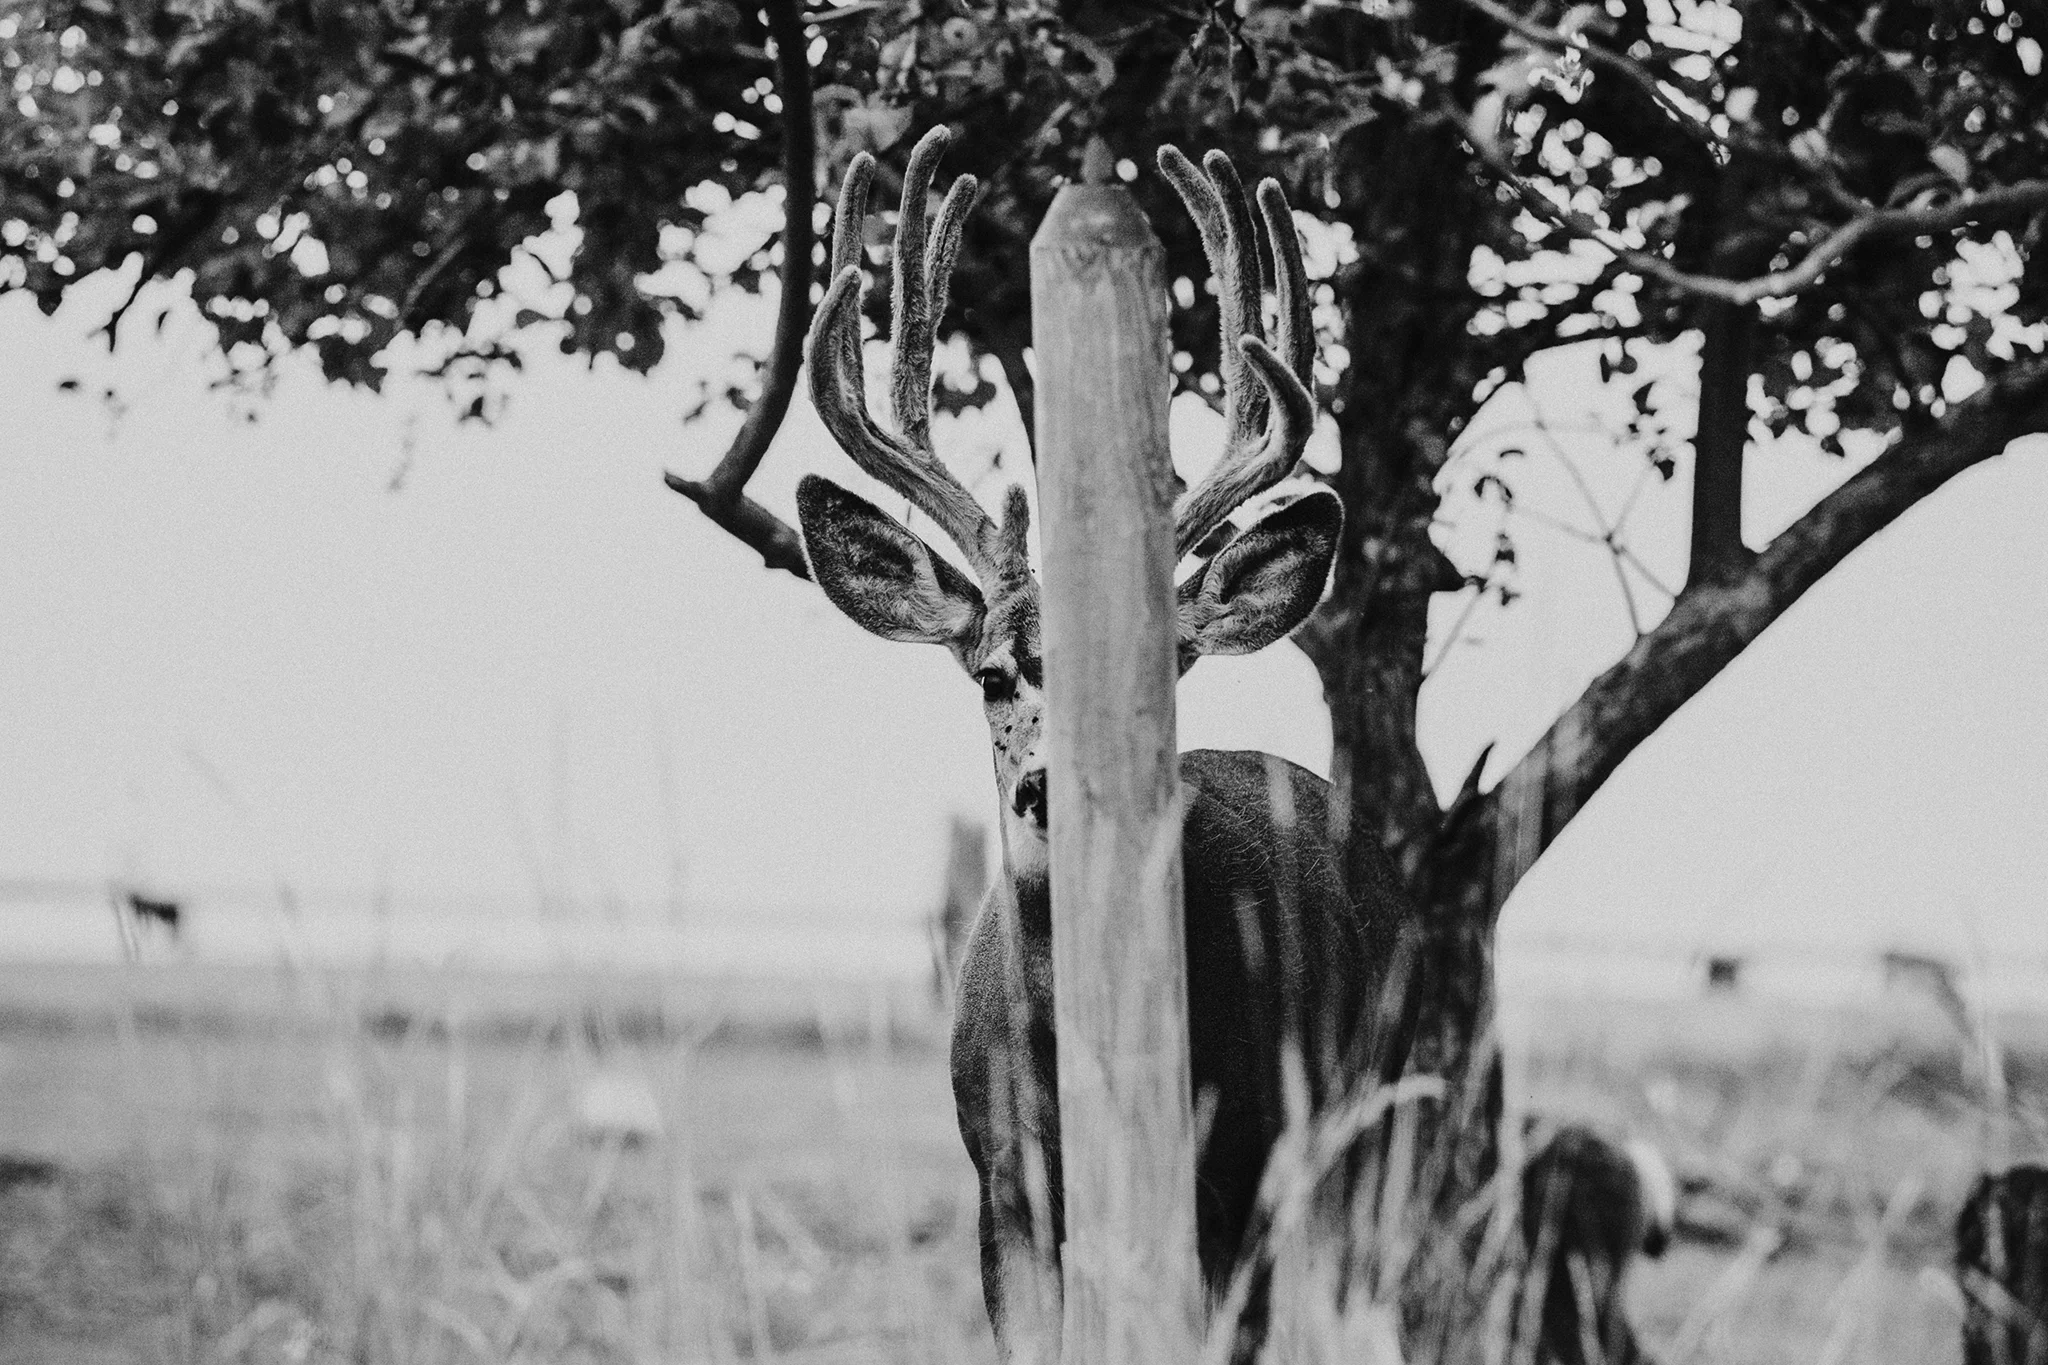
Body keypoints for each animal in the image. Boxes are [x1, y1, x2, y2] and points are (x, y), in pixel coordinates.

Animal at [793, 127, 1423, 1362]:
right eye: (994, 672)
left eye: (1155, 672)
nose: (1047, 784)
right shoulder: (1002, 1183)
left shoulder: (1242, 1166)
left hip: (1364, 1121)